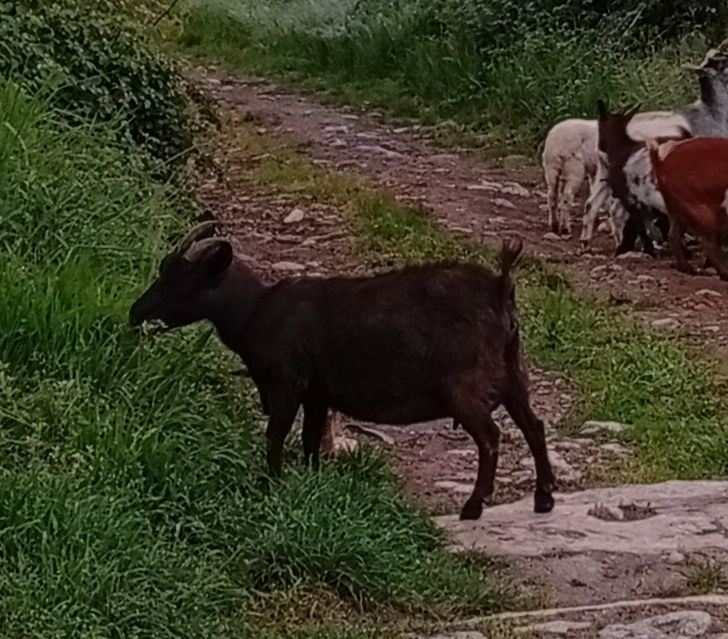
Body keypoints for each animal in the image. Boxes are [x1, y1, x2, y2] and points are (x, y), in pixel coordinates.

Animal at [129, 221, 556, 521]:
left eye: (181, 277)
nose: (136, 313)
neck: (256, 311)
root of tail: (500, 288)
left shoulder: (287, 384)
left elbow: (274, 436)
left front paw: (272, 483)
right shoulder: (317, 394)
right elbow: (309, 441)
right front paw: (312, 481)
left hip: (466, 387)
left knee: (491, 438)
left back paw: (474, 505)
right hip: (514, 374)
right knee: (534, 427)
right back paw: (543, 497)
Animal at [647, 137, 728, 280]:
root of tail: (661, 163)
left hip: (676, 210)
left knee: (673, 235)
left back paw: (687, 268)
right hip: (703, 212)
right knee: (708, 243)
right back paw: (724, 273)